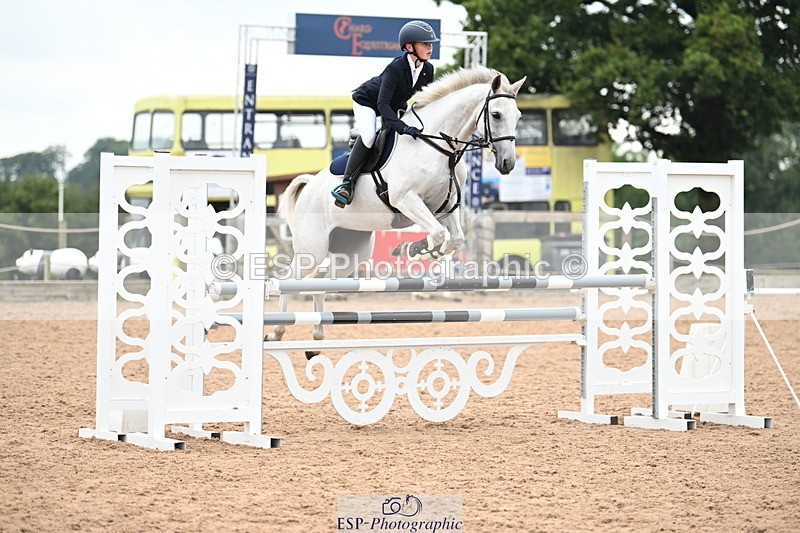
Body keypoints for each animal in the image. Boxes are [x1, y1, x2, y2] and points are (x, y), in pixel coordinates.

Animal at [272, 66, 526, 351]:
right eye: (496, 114)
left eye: (518, 116)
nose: (507, 163)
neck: (438, 146)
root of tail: (309, 185)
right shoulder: (407, 200)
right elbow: (438, 233)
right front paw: (411, 248)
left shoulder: (445, 207)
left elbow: (455, 239)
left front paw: (430, 252)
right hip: (312, 248)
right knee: (290, 278)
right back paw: (278, 331)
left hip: (352, 251)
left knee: (321, 279)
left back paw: (317, 335)